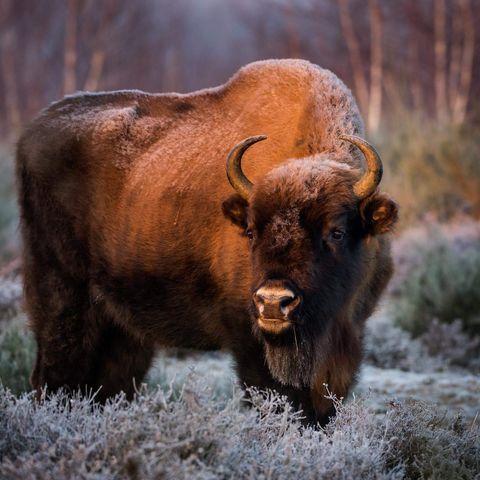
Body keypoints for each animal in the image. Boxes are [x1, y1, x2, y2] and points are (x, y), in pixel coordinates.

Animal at [15, 59, 398, 424]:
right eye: (250, 231)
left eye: (336, 231)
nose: (274, 302)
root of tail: (30, 134)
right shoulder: (249, 339)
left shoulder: (348, 336)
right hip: (62, 301)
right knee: (54, 377)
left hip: (122, 327)